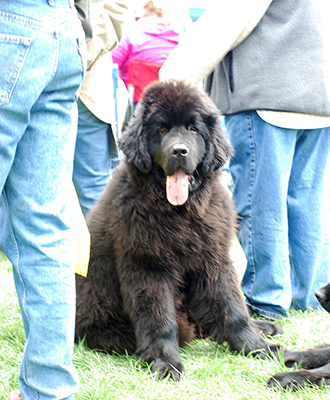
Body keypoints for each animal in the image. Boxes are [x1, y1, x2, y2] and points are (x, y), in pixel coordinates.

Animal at [75, 79, 282, 380]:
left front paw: (255, 346)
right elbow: (161, 320)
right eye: (161, 130)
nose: (179, 151)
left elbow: (232, 307)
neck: (181, 213)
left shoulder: (213, 259)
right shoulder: (149, 267)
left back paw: (264, 327)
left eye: (193, 129)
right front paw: (166, 362)